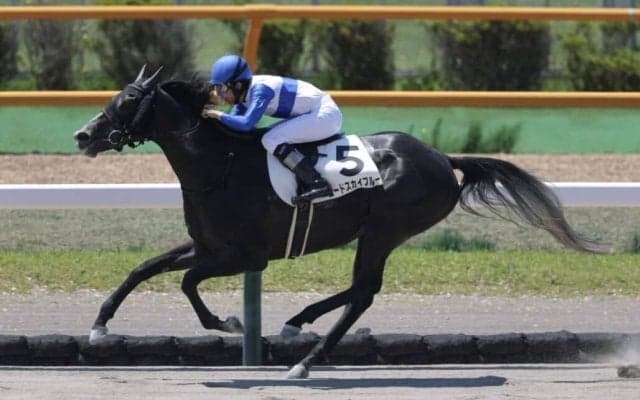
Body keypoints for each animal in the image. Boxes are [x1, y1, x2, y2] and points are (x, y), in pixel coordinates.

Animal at [73, 66, 607, 378]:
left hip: (384, 230)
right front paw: (99, 327)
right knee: (361, 290)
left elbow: (186, 283)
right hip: (376, 234)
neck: (217, 165)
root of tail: (441, 157)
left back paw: (304, 357)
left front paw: (227, 322)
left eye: (127, 101)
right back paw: (297, 326)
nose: (82, 136)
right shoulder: (206, 246)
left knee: (364, 292)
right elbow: (143, 269)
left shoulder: (246, 256)